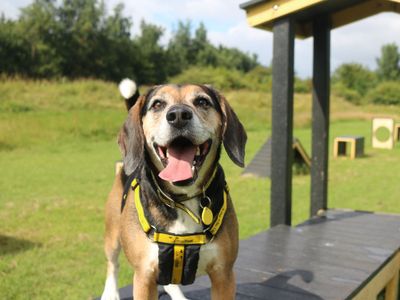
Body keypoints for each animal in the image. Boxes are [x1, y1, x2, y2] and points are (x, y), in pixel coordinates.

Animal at [100, 80, 247, 300]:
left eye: (202, 101)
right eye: (158, 104)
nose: (178, 115)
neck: (182, 198)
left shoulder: (224, 274)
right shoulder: (144, 276)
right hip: (113, 235)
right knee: (112, 264)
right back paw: (110, 292)